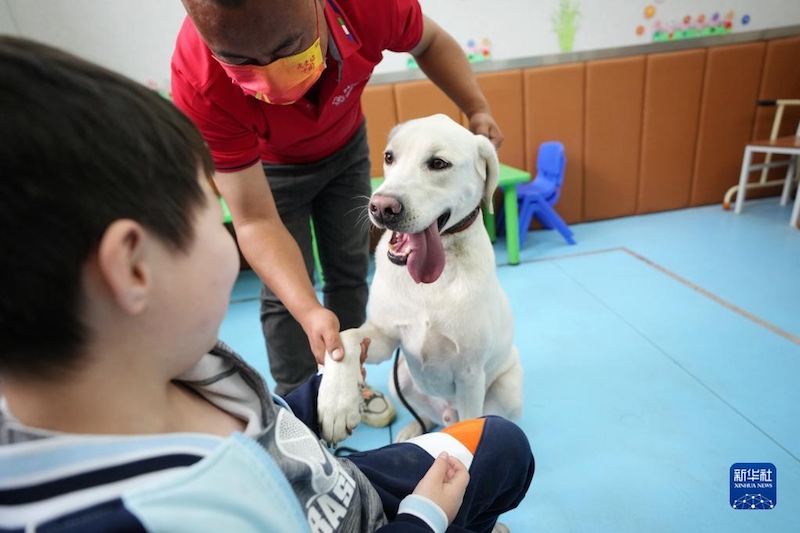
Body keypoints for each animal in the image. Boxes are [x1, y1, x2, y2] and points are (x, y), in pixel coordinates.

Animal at [318, 113, 524, 444]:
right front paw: (336, 404)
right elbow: (348, 337)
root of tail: (446, 411)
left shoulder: (470, 375)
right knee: (425, 415)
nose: (381, 207)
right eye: (389, 157)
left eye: (438, 163)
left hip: (507, 388)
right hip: (398, 376)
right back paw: (414, 428)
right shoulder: (385, 337)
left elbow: (469, 423)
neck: (431, 280)